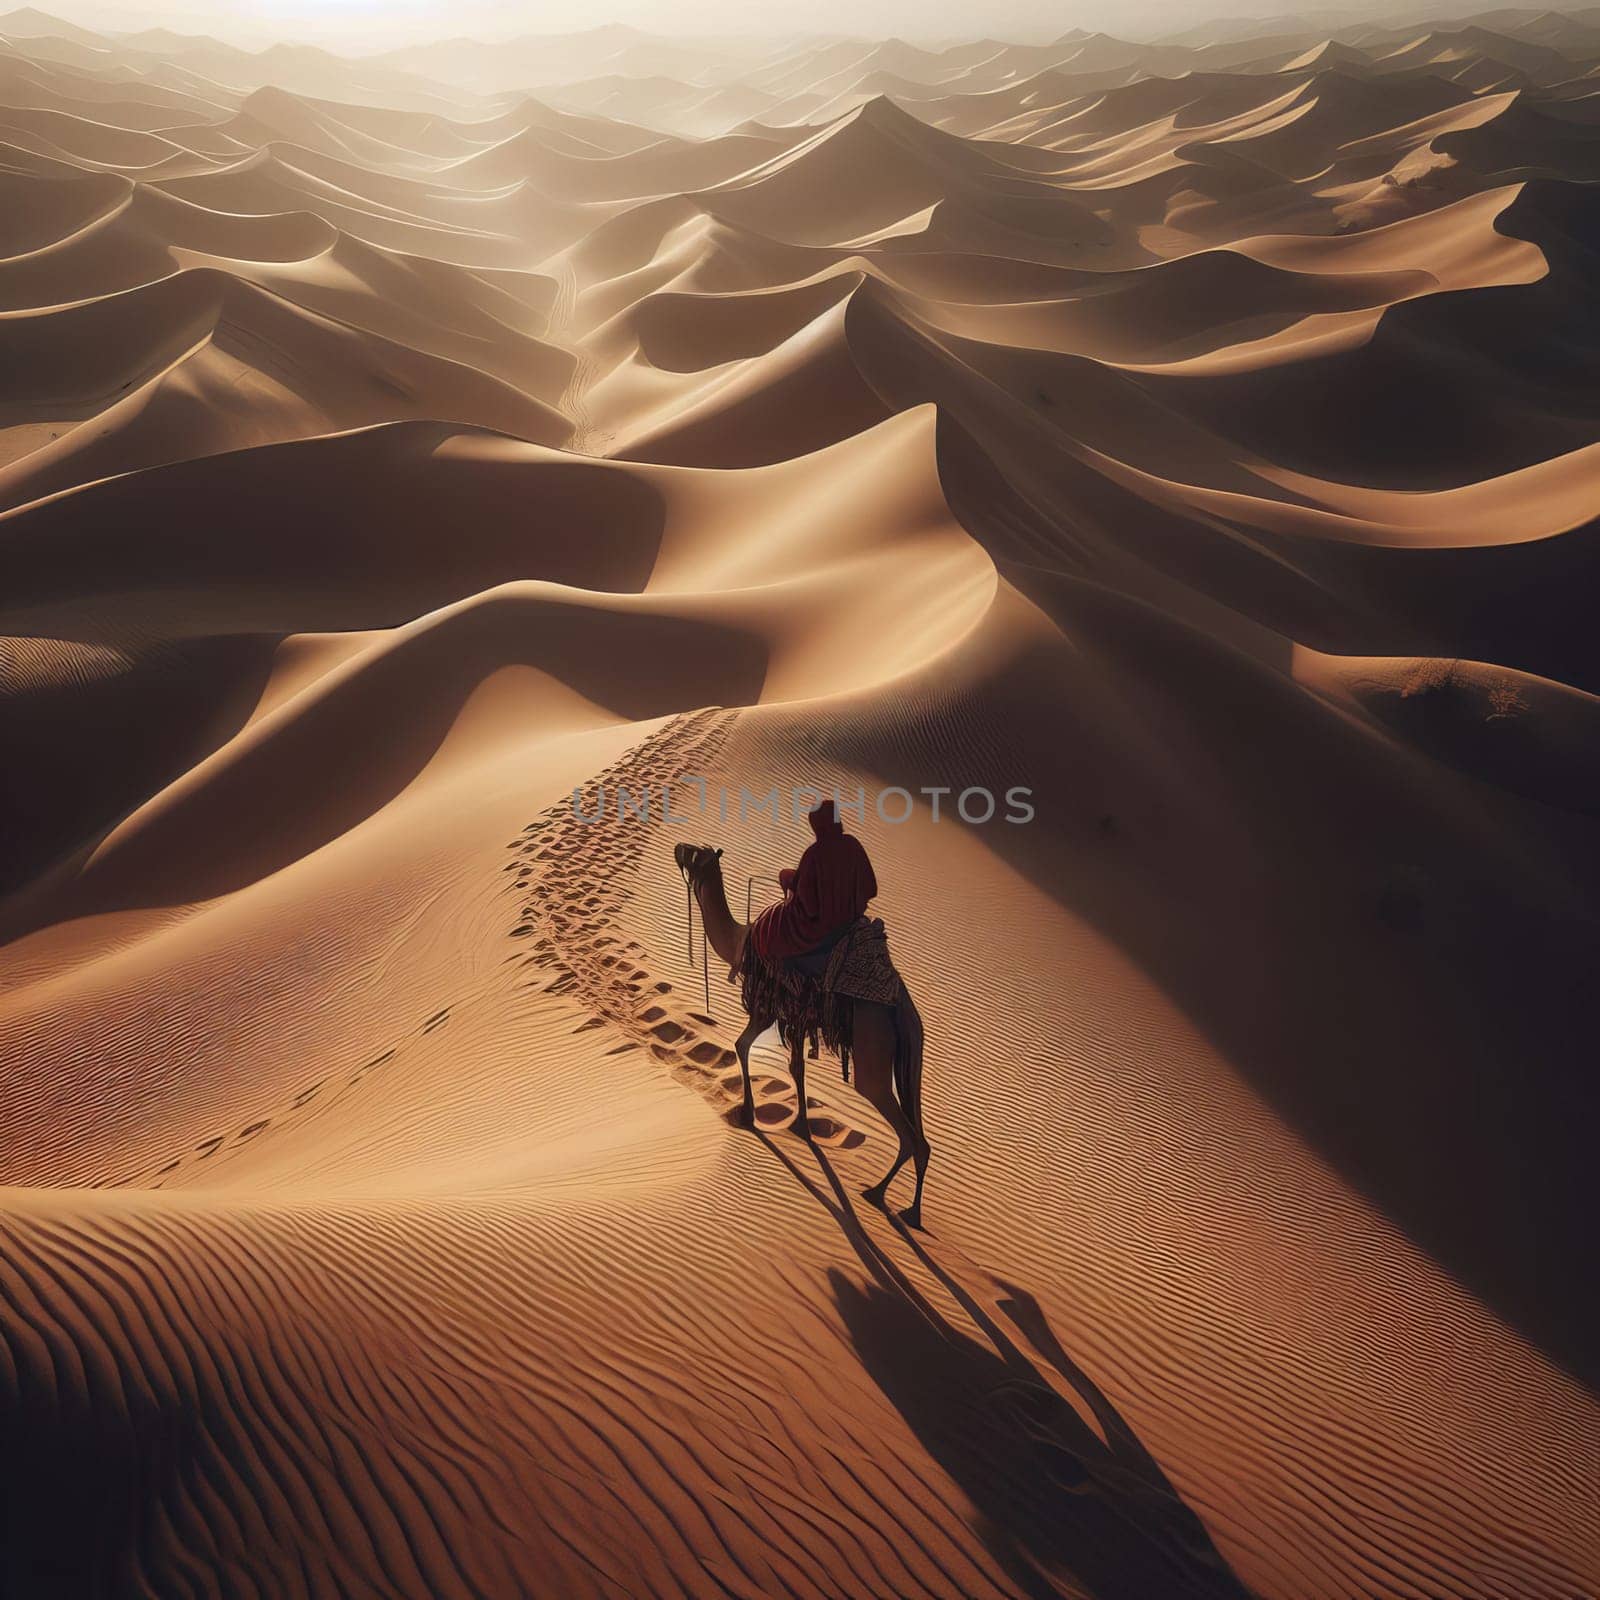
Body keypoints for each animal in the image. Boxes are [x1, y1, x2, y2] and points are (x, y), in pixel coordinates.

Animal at [672, 838, 928, 1222]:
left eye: (695, 854)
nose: (677, 847)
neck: (740, 941)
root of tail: (903, 1007)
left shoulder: (766, 1004)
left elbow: (742, 1044)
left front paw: (747, 1114)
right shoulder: (796, 1016)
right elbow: (796, 1066)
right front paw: (801, 1126)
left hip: (873, 1048)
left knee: (901, 1125)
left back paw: (878, 1194)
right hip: (906, 1052)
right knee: (921, 1137)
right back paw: (911, 1211)